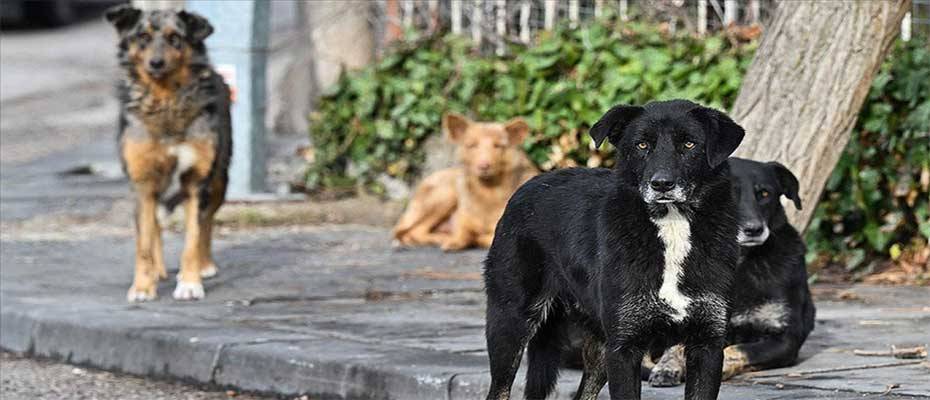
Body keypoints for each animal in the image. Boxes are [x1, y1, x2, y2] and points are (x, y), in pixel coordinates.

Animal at [106, 5, 232, 304]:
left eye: (175, 38)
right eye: (142, 37)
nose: (156, 63)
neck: (165, 100)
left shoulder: (196, 180)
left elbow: (193, 237)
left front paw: (190, 283)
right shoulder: (142, 181)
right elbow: (144, 241)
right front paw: (142, 286)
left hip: (219, 179)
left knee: (207, 221)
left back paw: (204, 265)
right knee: (155, 225)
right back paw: (158, 271)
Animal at [392, 113, 536, 250]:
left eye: (498, 146)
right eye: (472, 145)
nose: (484, 166)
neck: (487, 193)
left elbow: (484, 237)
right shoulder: (463, 220)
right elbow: (463, 233)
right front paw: (457, 240)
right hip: (445, 195)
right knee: (413, 231)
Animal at [482, 98, 744, 398]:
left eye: (689, 144)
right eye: (642, 145)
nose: (662, 184)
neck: (672, 225)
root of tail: (533, 183)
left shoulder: (707, 345)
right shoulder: (623, 348)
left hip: (597, 346)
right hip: (510, 322)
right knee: (499, 388)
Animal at [644, 158, 812, 386]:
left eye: (765, 194)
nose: (754, 229)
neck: (740, 263)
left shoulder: (785, 338)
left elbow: (737, 349)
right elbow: (674, 346)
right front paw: (667, 366)